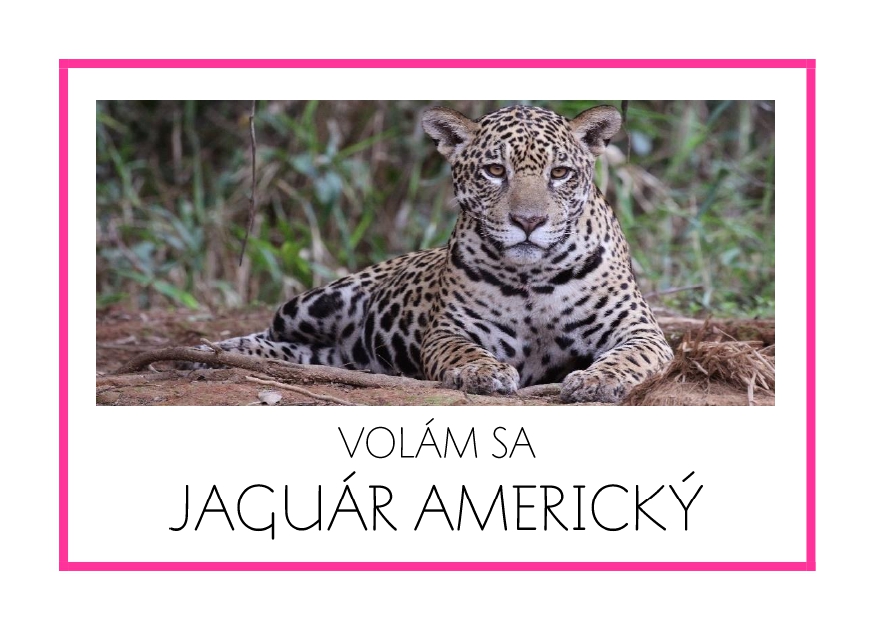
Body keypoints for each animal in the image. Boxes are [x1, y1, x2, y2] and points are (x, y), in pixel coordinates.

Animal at [201, 103, 673, 403]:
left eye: (560, 173)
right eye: (495, 171)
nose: (529, 221)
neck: (533, 277)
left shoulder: (641, 331)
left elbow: (628, 357)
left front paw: (598, 382)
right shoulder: (449, 330)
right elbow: (462, 352)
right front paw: (484, 372)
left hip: (330, 350)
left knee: (302, 354)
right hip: (315, 304)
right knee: (269, 334)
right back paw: (212, 354)